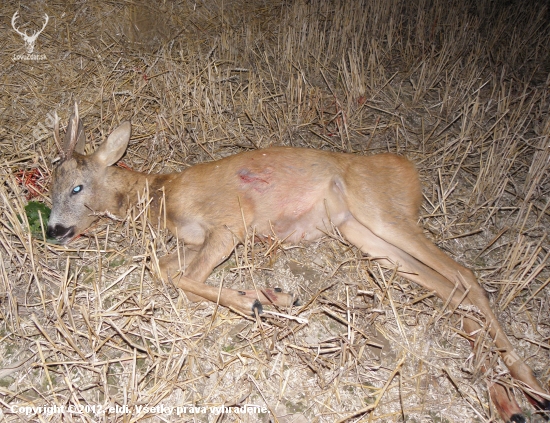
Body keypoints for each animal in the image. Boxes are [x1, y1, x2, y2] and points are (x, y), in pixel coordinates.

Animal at [48, 105, 550, 420]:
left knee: (466, 276)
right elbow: (165, 270)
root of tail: (409, 172)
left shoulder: (229, 224)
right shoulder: (192, 240)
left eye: (76, 187)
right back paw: (511, 395)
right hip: (360, 232)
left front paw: (256, 300)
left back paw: (531, 384)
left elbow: (186, 279)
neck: (160, 196)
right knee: (451, 290)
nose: (52, 230)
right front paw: (268, 294)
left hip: (380, 212)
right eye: (52, 188)